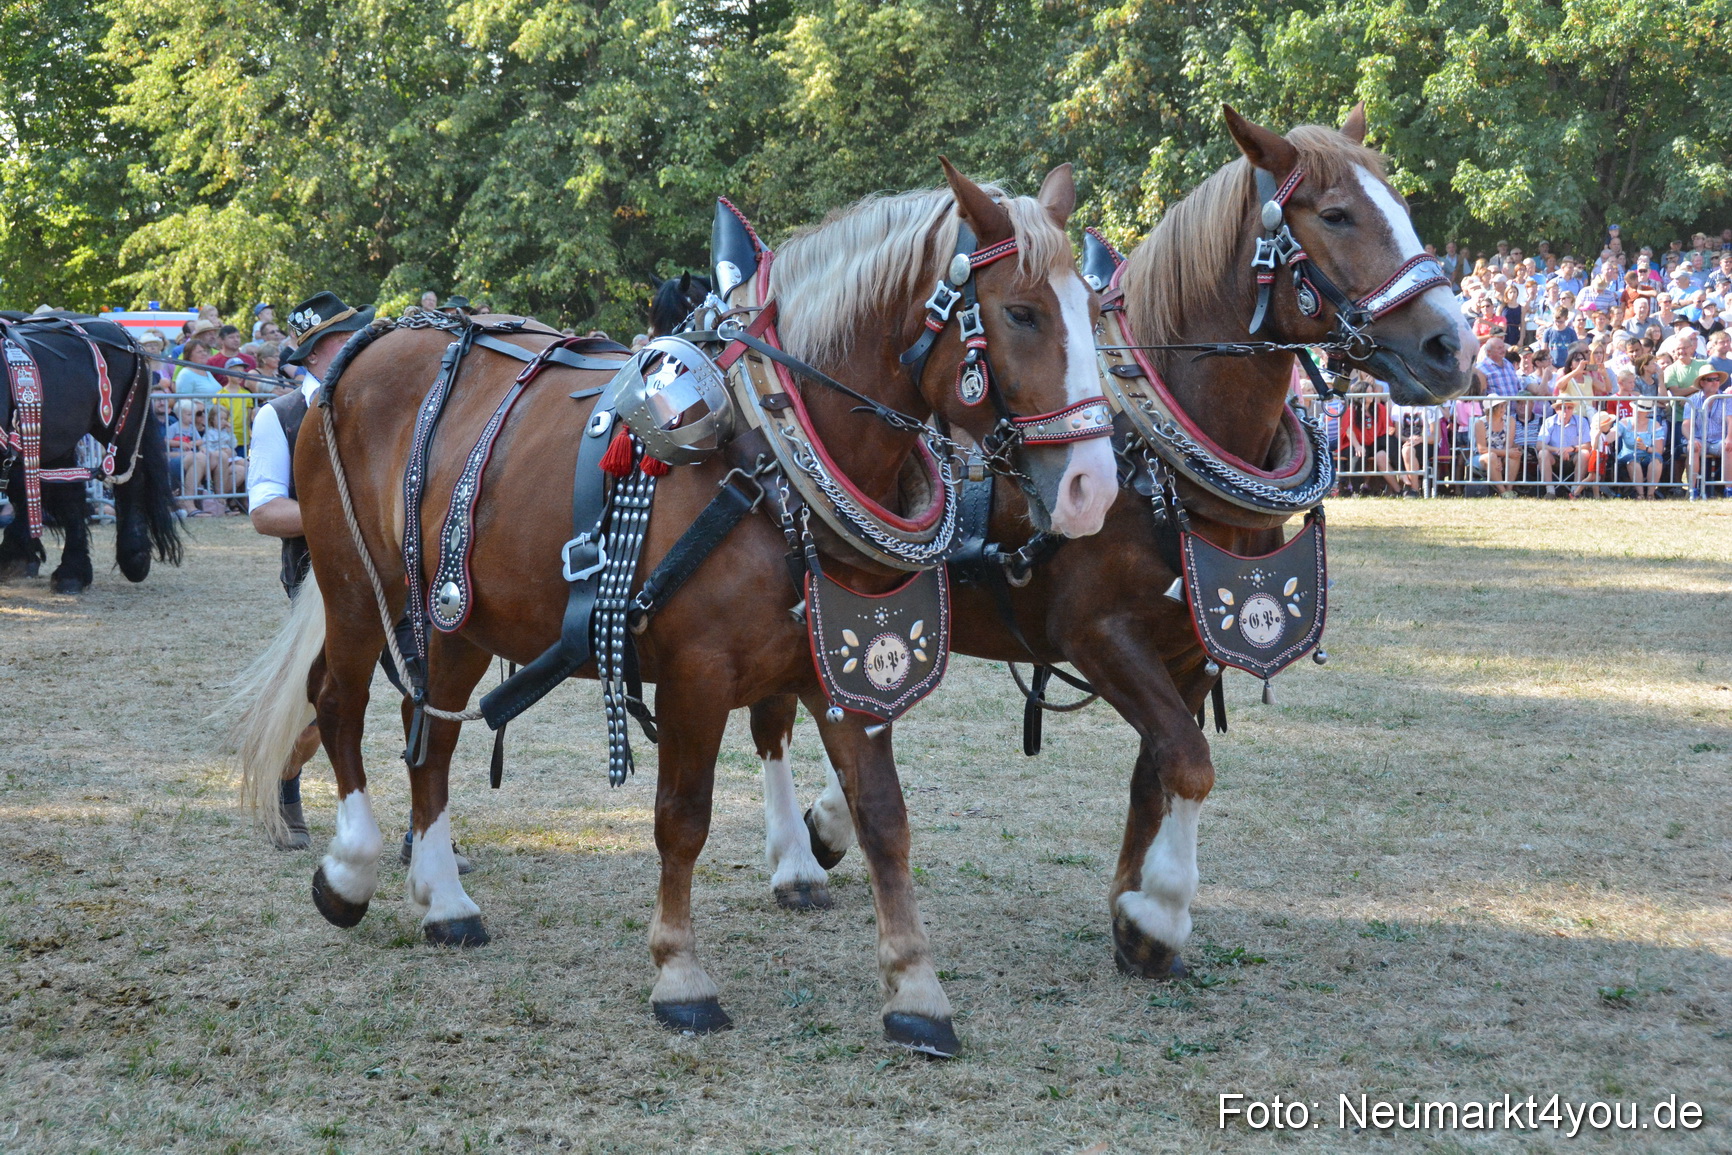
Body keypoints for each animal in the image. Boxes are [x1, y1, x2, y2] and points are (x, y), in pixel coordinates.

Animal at [0, 313, 183, 593]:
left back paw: (133, 557)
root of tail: (124, 336)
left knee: (130, 481)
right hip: (56, 438)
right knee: (66, 492)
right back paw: (68, 569)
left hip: (123, 427)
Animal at [231, 160, 1118, 1056]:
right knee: (339, 705)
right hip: (356, 586)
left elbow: (884, 818)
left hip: (458, 613)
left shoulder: (849, 667)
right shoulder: (697, 674)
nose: (1094, 486)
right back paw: (350, 869)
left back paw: (444, 901)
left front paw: (915, 988)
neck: (771, 459)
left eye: (1090, 311)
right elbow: (682, 818)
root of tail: (363, 353)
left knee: (432, 733)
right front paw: (681, 972)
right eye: (1021, 311)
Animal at [754, 106, 1475, 979]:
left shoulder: (1192, 643)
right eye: (1336, 215)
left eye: (1401, 205)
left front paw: (1134, 915)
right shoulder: (1099, 633)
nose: (1454, 346)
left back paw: (826, 823)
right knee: (772, 718)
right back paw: (795, 860)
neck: (1157, 450)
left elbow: (1157, 771)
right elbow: (1190, 762)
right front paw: (1161, 909)